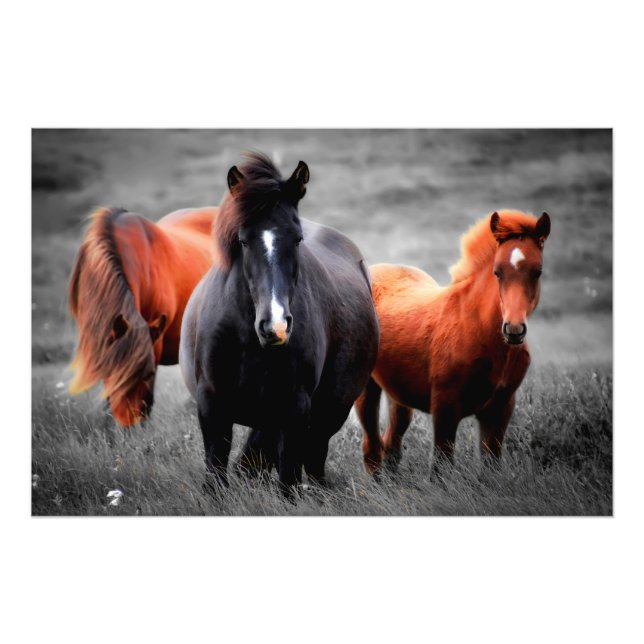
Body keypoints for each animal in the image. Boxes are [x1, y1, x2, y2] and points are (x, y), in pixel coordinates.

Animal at [179, 152, 379, 493]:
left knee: (313, 461)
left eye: (297, 239)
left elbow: (288, 481)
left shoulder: (294, 409)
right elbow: (216, 476)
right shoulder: (212, 406)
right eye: (243, 241)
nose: (276, 327)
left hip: (328, 413)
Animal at [356, 209, 551, 476]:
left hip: (399, 394)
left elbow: (490, 465)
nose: (513, 330)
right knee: (372, 450)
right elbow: (441, 466)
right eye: (497, 271)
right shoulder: (445, 406)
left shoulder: (500, 408)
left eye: (538, 271)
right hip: (366, 388)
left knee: (391, 445)